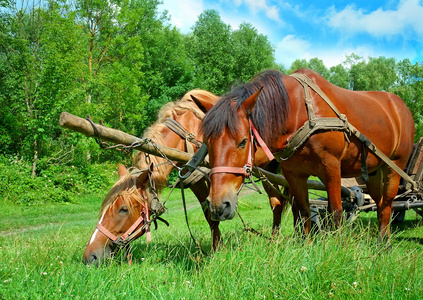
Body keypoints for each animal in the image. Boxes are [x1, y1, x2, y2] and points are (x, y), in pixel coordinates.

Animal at [203, 69, 418, 240]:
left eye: (243, 141)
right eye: (207, 142)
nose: (218, 206)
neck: (300, 112)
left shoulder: (331, 167)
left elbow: (336, 211)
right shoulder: (294, 174)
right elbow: (304, 210)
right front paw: (306, 245)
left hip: (394, 167)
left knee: (388, 202)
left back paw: (383, 243)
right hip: (374, 172)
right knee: (380, 203)